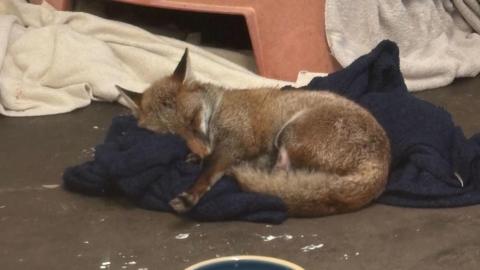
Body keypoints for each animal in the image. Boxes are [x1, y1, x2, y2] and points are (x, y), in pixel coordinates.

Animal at [116, 48, 390, 217]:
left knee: (279, 176)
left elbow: (209, 172)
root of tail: (381, 165)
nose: (203, 150)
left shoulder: (236, 142)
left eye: (194, 120)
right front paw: (195, 157)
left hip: (289, 133)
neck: (218, 107)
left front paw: (192, 193)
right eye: (174, 135)